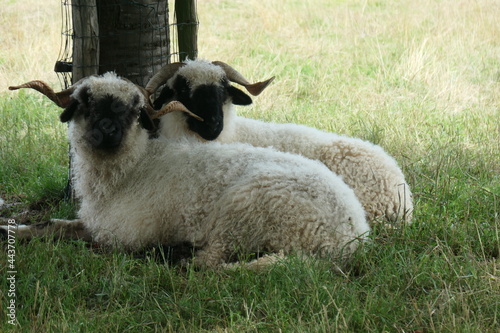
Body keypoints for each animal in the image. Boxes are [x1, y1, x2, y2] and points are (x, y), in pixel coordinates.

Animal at [4, 72, 372, 268]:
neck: (130, 170)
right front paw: (14, 230)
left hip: (244, 211)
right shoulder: (97, 222)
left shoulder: (121, 236)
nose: (108, 130)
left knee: (213, 261)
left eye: (134, 110)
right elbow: (51, 225)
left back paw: (177, 254)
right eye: (84, 102)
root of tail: (353, 232)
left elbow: (85, 241)